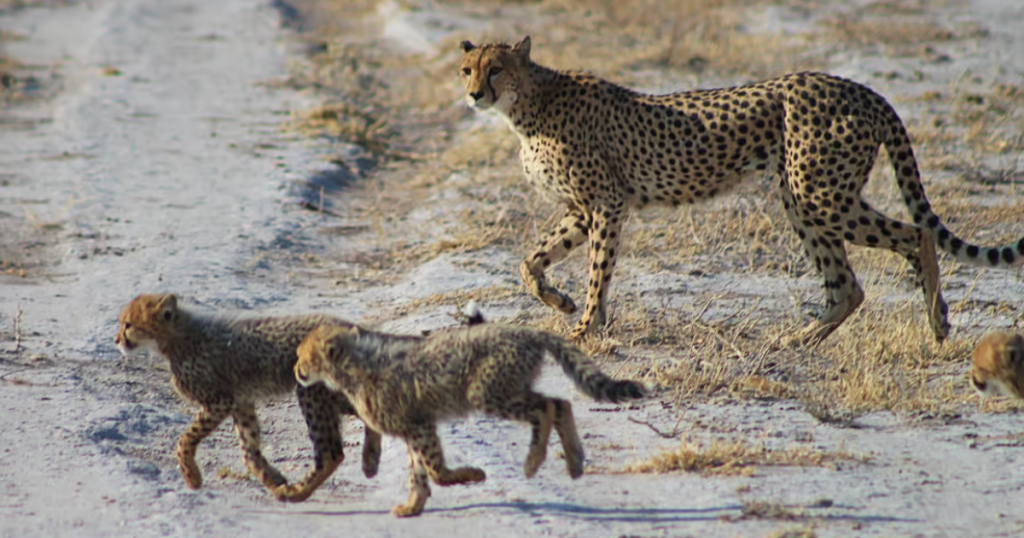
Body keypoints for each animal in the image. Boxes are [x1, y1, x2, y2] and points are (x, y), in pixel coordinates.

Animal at [114, 293, 384, 502]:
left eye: (128, 324)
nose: (116, 340)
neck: (176, 336)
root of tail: (351, 327)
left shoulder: (219, 401)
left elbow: (184, 440)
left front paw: (192, 477)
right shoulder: (240, 402)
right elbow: (249, 451)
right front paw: (273, 478)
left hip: (311, 391)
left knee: (331, 452)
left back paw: (295, 493)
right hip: (332, 392)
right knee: (368, 412)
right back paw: (370, 461)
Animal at [293, 322, 646, 517]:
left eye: (302, 355)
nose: (296, 370)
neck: (353, 365)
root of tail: (524, 329)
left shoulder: (418, 425)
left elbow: (435, 470)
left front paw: (473, 475)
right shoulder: (414, 428)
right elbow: (418, 472)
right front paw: (413, 506)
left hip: (487, 393)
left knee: (547, 407)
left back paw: (534, 461)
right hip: (506, 388)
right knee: (560, 404)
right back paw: (574, 463)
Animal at [458, 36, 1024, 345]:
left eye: (497, 68)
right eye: (467, 69)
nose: (473, 95)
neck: (527, 105)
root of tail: (859, 88)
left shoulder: (607, 203)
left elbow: (598, 271)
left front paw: (585, 327)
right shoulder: (581, 209)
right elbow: (530, 261)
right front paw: (560, 302)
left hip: (819, 195)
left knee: (915, 236)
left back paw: (938, 323)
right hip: (803, 200)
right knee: (847, 285)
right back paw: (798, 340)